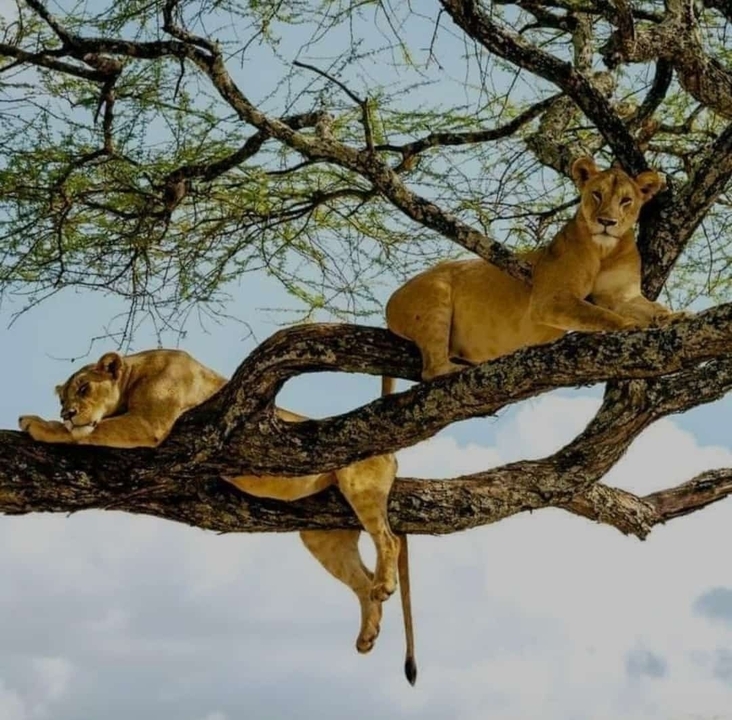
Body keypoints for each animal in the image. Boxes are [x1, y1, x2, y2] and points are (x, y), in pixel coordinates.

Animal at [19, 348, 417, 684]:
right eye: (62, 398)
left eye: (84, 388)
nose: (67, 412)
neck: (136, 372)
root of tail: (394, 453)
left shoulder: (149, 423)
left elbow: (89, 433)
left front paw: (40, 425)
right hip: (323, 536)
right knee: (362, 581)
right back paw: (367, 634)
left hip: (359, 486)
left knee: (388, 539)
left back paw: (385, 586)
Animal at [385, 156, 683, 381]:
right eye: (597, 195)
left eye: (626, 201)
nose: (607, 222)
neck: (604, 250)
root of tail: (391, 299)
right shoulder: (549, 299)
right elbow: (600, 314)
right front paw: (631, 326)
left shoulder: (622, 295)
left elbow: (651, 307)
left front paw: (676, 316)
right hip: (435, 298)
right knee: (431, 370)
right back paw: (456, 369)